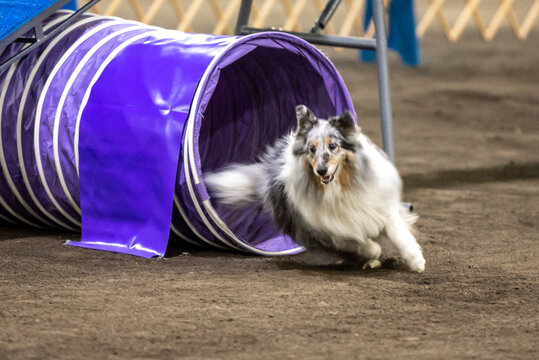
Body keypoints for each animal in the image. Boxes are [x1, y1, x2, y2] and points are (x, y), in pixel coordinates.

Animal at [206, 105, 426, 272]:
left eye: (333, 146)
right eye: (312, 149)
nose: (321, 170)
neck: (343, 187)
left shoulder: (379, 206)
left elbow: (399, 233)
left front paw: (417, 262)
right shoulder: (328, 230)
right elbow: (362, 243)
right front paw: (373, 252)